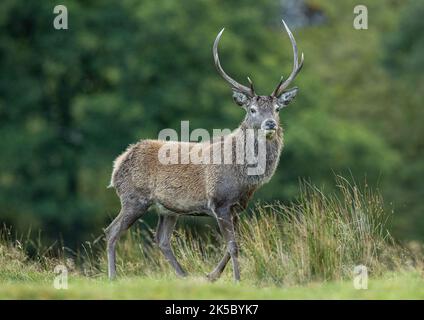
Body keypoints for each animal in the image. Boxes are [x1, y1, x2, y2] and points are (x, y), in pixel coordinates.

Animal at [106, 19, 304, 280]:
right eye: (251, 109)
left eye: (277, 109)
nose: (270, 123)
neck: (244, 177)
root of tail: (118, 164)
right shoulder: (219, 202)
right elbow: (233, 245)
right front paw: (236, 279)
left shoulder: (237, 207)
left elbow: (234, 245)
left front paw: (212, 276)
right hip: (133, 198)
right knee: (112, 231)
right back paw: (113, 276)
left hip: (168, 209)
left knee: (162, 240)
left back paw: (184, 276)